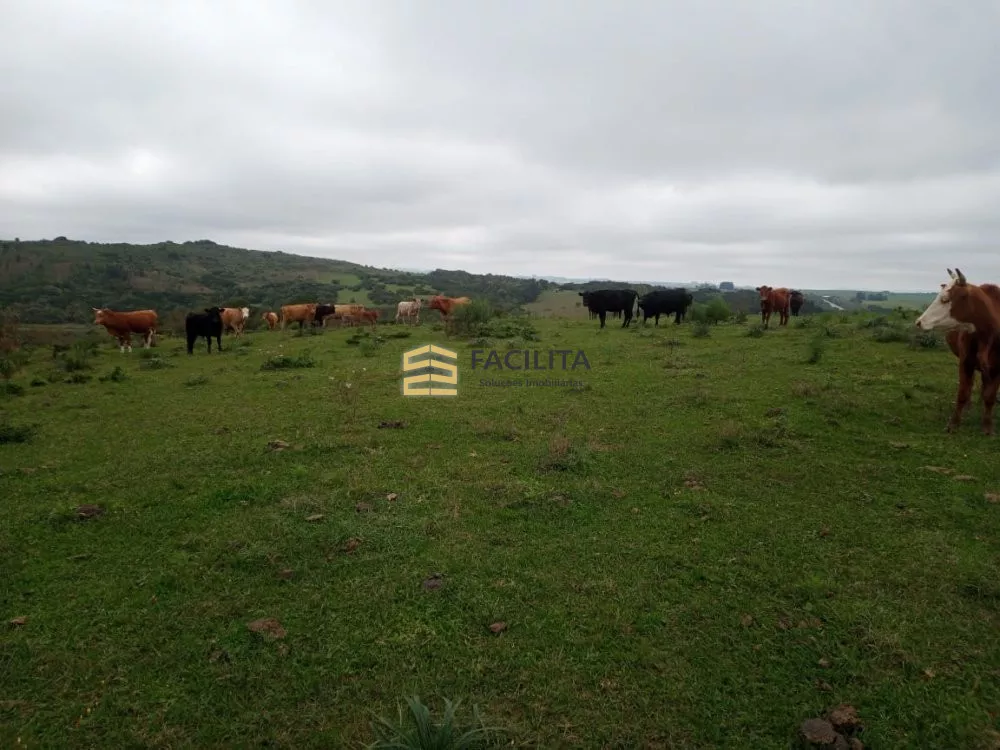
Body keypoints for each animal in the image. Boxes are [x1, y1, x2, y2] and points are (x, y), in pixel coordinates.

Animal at [916, 268, 1000, 434]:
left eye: (945, 299)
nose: (919, 322)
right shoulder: (965, 362)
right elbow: (962, 392)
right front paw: (954, 423)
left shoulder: (998, 368)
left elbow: (990, 396)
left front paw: (987, 426)